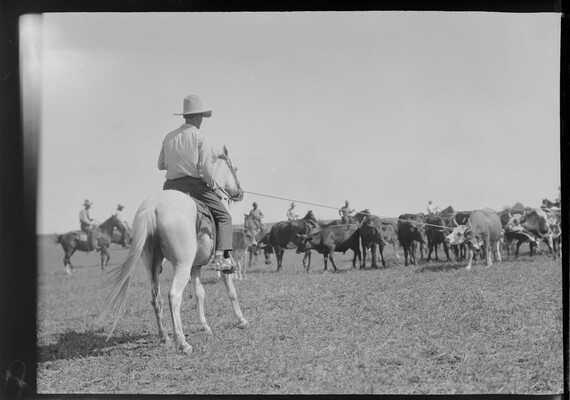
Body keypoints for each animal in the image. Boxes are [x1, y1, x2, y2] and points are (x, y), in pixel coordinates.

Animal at [98, 146, 248, 355]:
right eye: (234, 168)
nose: (240, 192)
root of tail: (152, 208)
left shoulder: (195, 267)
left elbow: (200, 293)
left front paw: (205, 326)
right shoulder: (220, 264)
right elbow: (231, 291)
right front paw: (241, 320)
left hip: (152, 265)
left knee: (156, 297)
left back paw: (165, 337)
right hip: (182, 265)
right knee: (173, 296)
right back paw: (182, 342)